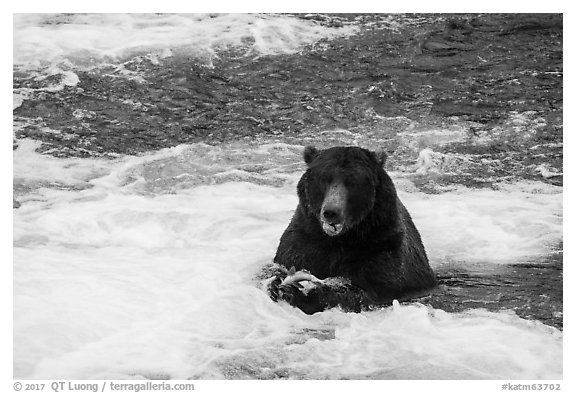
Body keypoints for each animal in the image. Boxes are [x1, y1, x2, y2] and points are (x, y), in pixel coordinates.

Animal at [268, 145, 438, 314]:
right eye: (324, 178)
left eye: (353, 182)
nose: (331, 212)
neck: (340, 238)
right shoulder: (303, 241)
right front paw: (275, 285)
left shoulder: (381, 246)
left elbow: (364, 289)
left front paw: (300, 293)